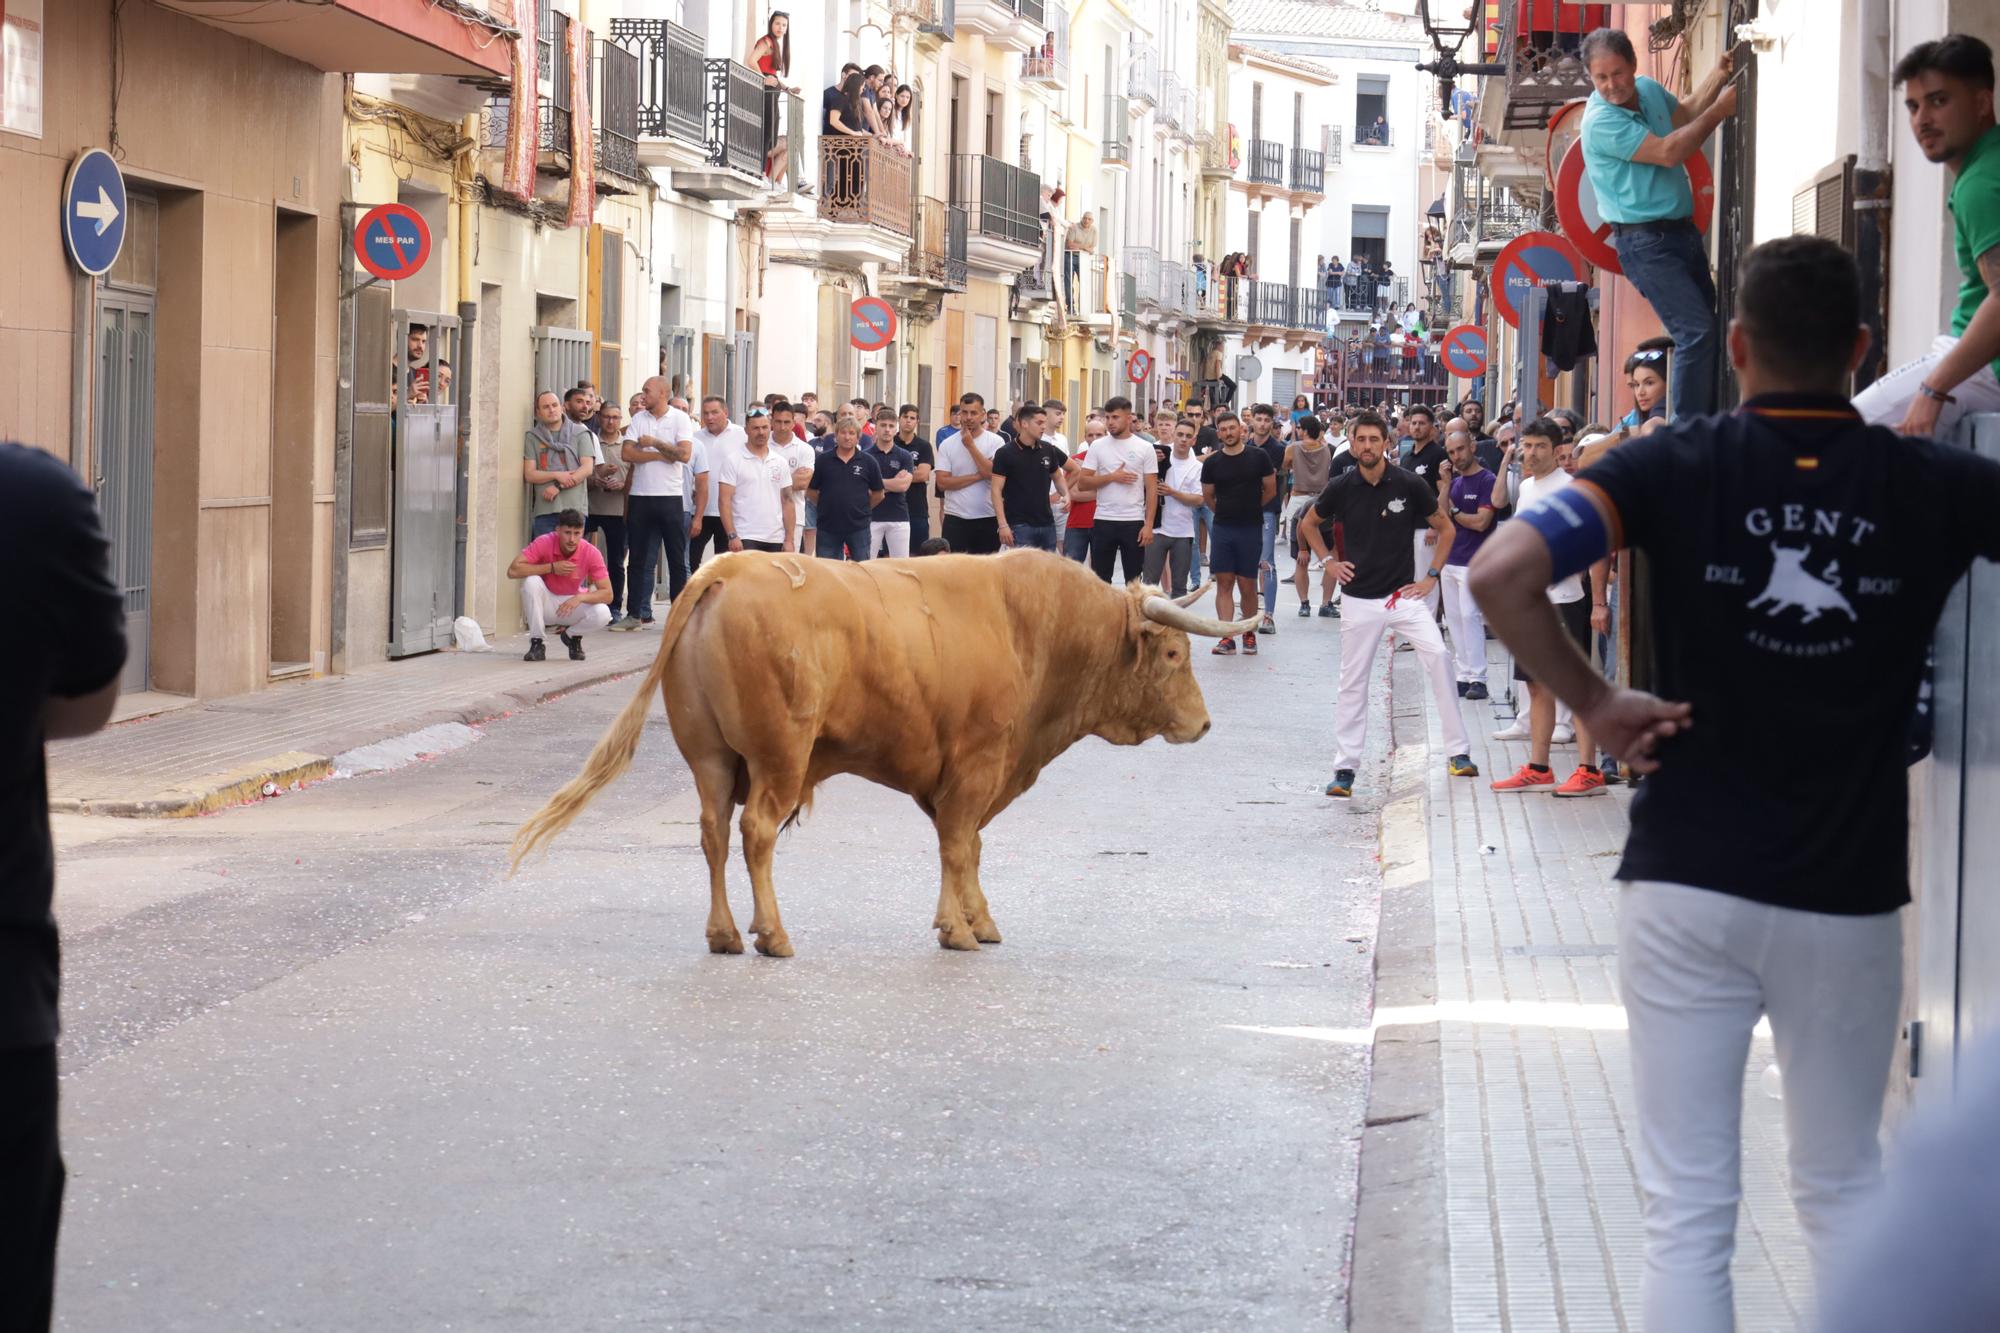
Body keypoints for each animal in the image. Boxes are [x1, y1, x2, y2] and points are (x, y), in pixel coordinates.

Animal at [508, 544, 1248, 948]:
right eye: (1175, 654)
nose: (1205, 724)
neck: (1034, 630)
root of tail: (725, 569)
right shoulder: (977, 766)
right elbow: (960, 846)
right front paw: (960, 928)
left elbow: (967, 849)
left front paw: (974, 920)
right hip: (780, 756)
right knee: (756, 832)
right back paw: (773, 935)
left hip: (711, 758)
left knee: (714, 832)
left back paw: (724, 934)